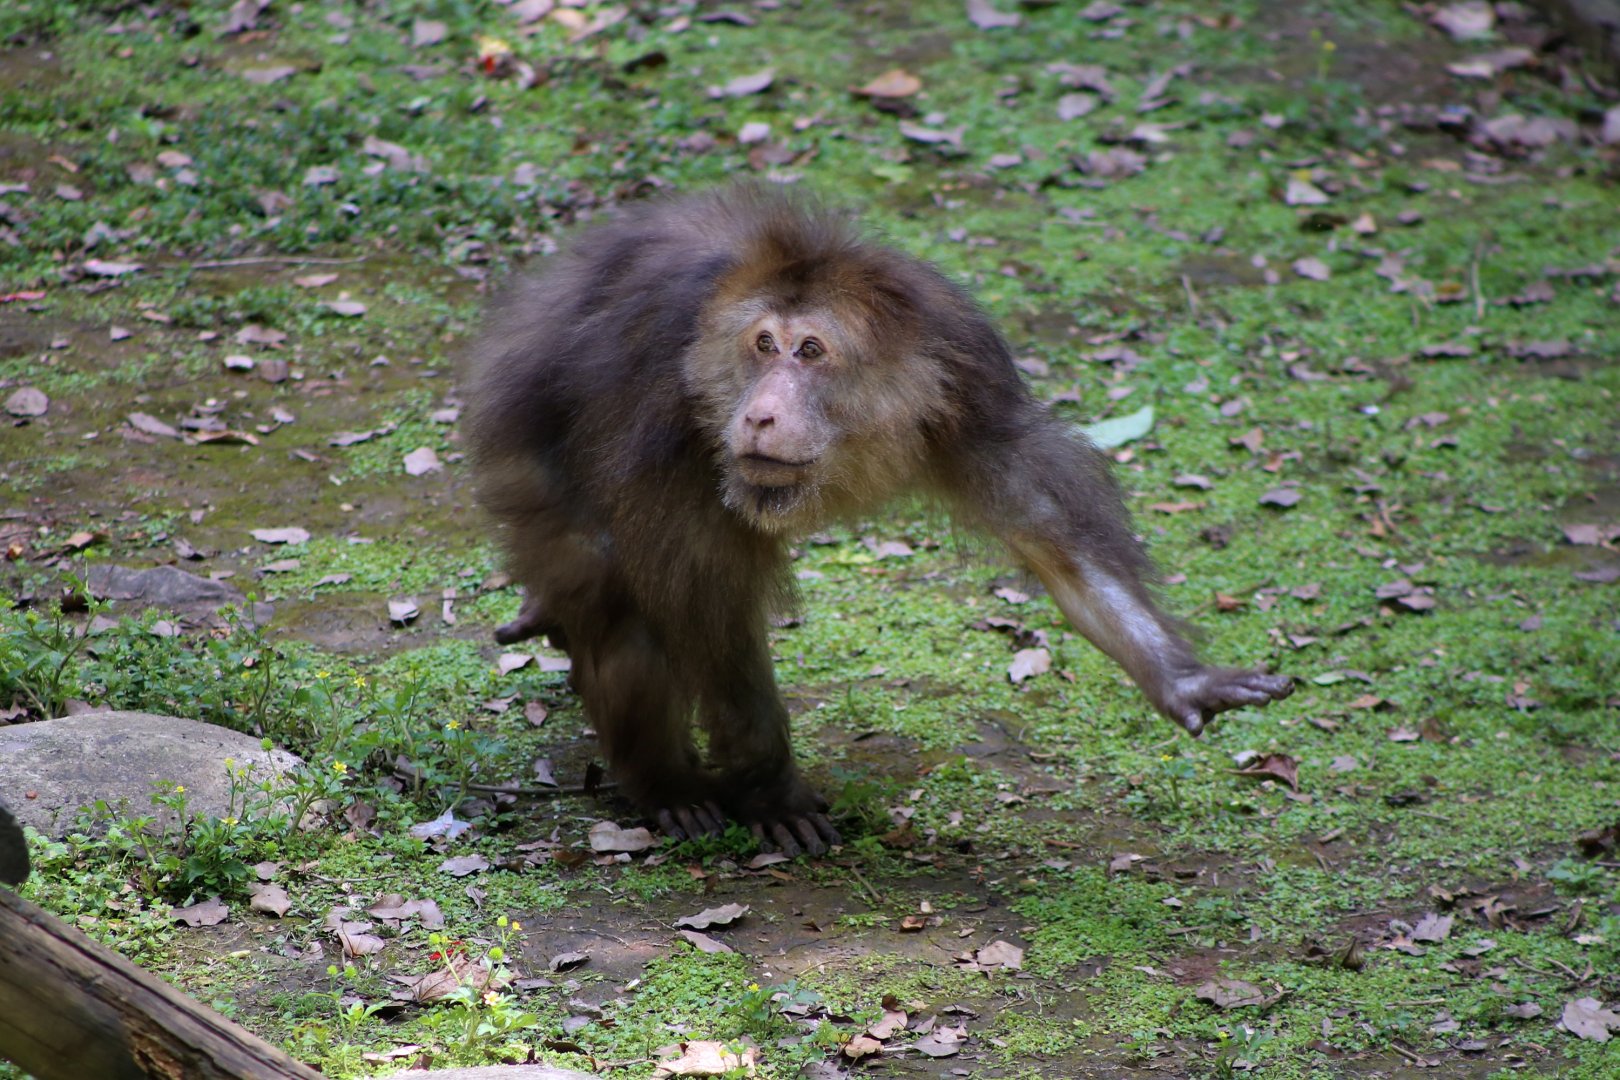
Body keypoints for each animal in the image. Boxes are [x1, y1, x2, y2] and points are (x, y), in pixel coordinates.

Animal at [463, 185, 1293, 856]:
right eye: (761, 346)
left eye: (809, 350)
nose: (759, 415)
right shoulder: (663, 408)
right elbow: (702, 595)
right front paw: (767, 787)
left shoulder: (962, 372)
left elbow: (1043, 520)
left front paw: (1180, 677)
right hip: (522, 455)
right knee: (609, 579)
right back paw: (667, 786)